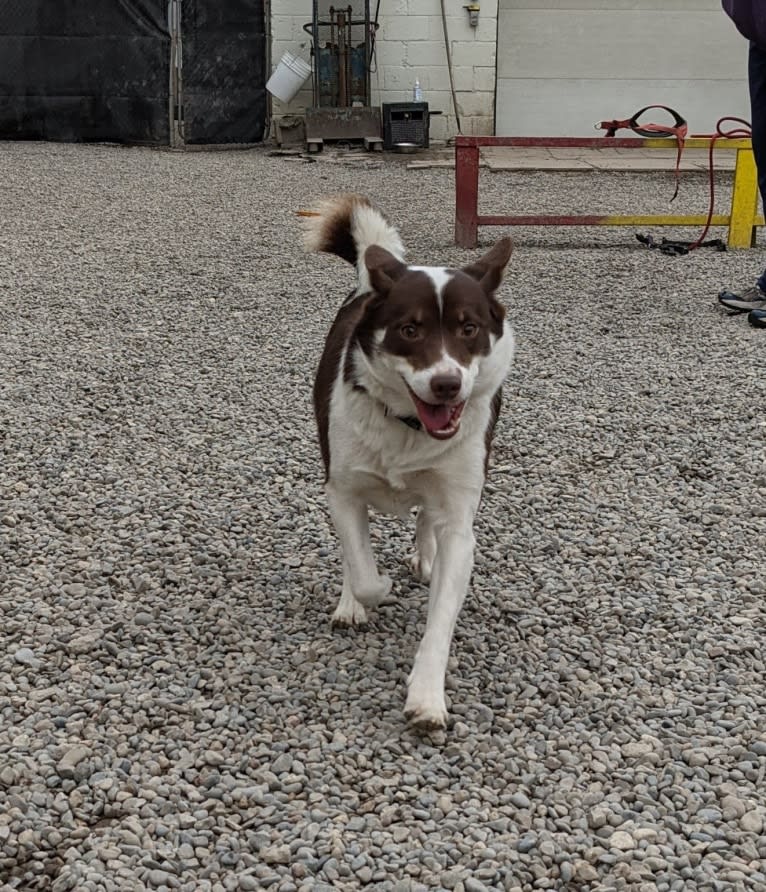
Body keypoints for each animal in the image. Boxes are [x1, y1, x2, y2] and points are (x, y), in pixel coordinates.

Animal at [306, 192, 516, 728]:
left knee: (426, 516)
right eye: (409, 330)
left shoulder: (460, 520)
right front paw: (368, 590)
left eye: (469, 328)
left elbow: (441, 616)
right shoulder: (343, 489)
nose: (447, 384)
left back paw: (424, 553)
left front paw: (426, 696)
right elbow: (362, 570)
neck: (408, 427)